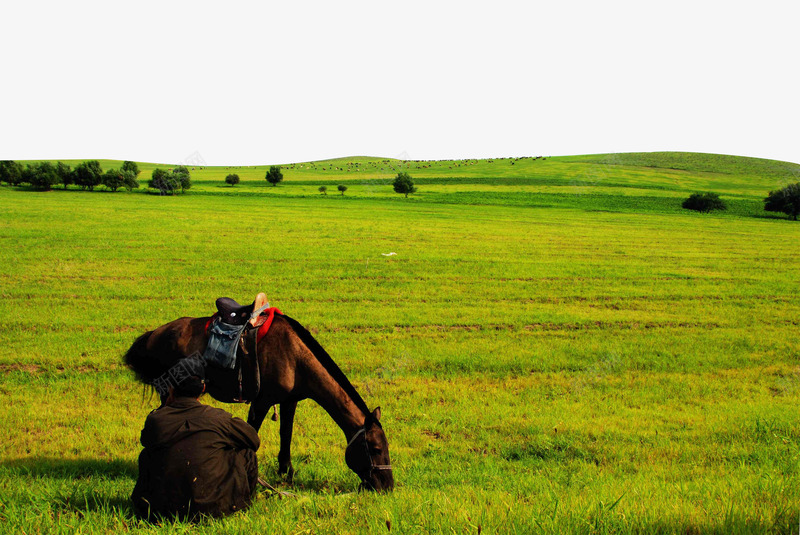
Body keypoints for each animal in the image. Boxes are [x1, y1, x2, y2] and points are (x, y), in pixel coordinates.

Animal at [124, 314, 394, 494]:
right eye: (376, 449)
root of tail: (154, 334)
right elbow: (251, 433)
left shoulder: (289, 401)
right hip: (168, 390)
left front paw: (286, 473)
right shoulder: (262, 402)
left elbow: (286, 434)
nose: (388, 486)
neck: (295, 356)